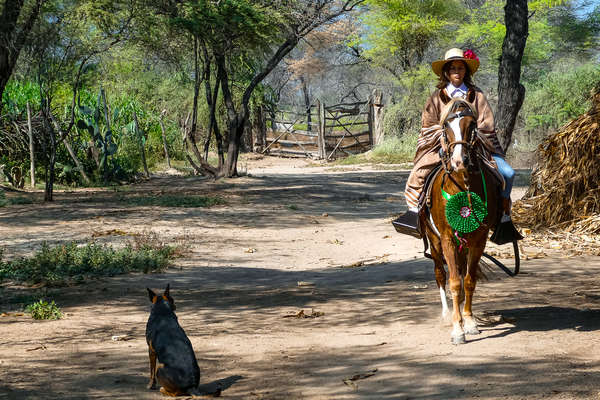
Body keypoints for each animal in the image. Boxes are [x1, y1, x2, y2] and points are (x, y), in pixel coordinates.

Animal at [422, 98, 502, 346]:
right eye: (446, 127)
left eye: (471, 125)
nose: (459, 161)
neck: (462, 185)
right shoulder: (447, 238)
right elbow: (455, 282)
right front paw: (457, 329)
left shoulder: (478, 239)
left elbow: (468, 280)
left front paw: (470, 322)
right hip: (434, 242)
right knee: (440, 274)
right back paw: (446, 314)